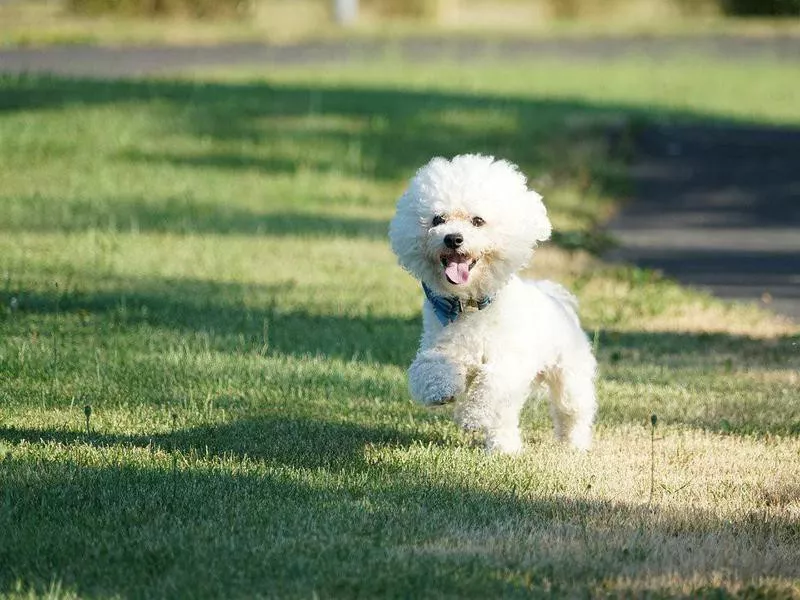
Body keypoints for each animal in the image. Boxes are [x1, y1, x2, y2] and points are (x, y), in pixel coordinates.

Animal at [390, 155, 596, 454]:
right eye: (438, 219)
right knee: (507, 419)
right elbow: (430, 367)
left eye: (478, 221)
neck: (470, 305)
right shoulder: (441, 346)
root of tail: (554, 296)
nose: (453, 238)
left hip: (569, 373)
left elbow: (491, 387)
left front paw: (472, 416)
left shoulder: (510, 361)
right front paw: (441, 390)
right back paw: (504, 448)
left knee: (572, 410)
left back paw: (574, 444)